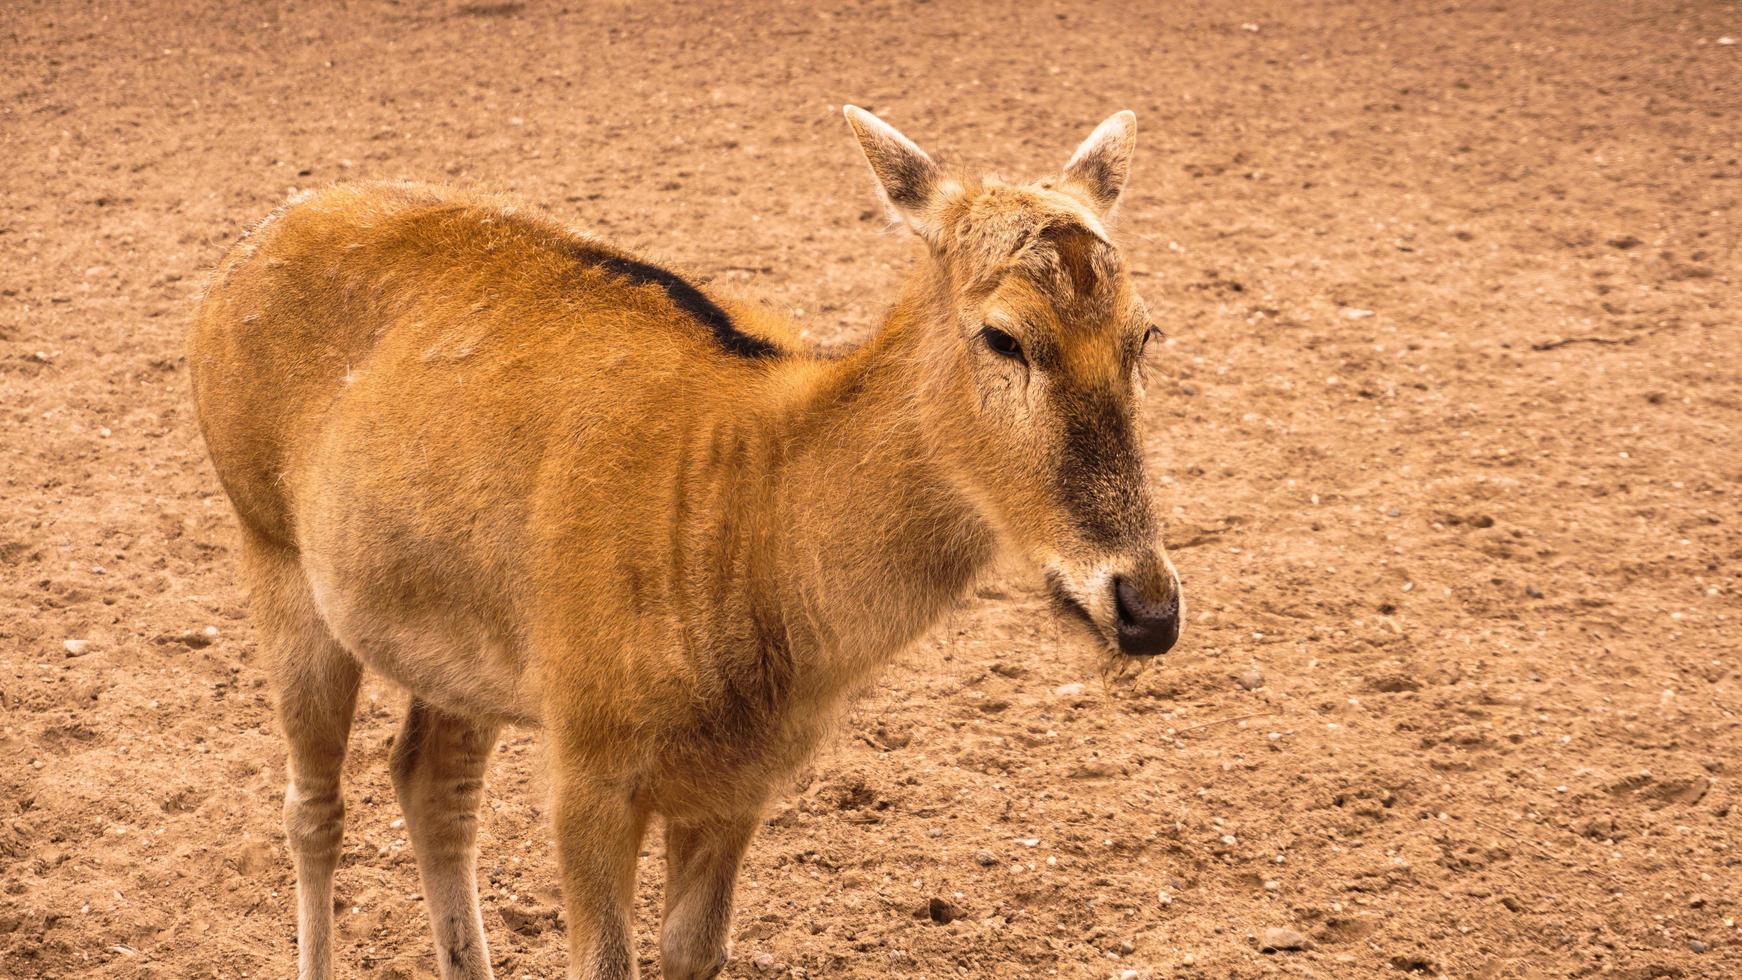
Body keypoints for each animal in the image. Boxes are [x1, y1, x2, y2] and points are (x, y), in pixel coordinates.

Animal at [190, 107, 1184, 980]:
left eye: (1144, 333)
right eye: (1004, 336)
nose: (1147, 607)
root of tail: (240, 258)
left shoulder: (743, 784)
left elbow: (692, 953)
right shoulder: (586, 754)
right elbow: (603, 962)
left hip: (458, 644)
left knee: (430, 783)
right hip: (268, 545)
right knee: (314, 808)